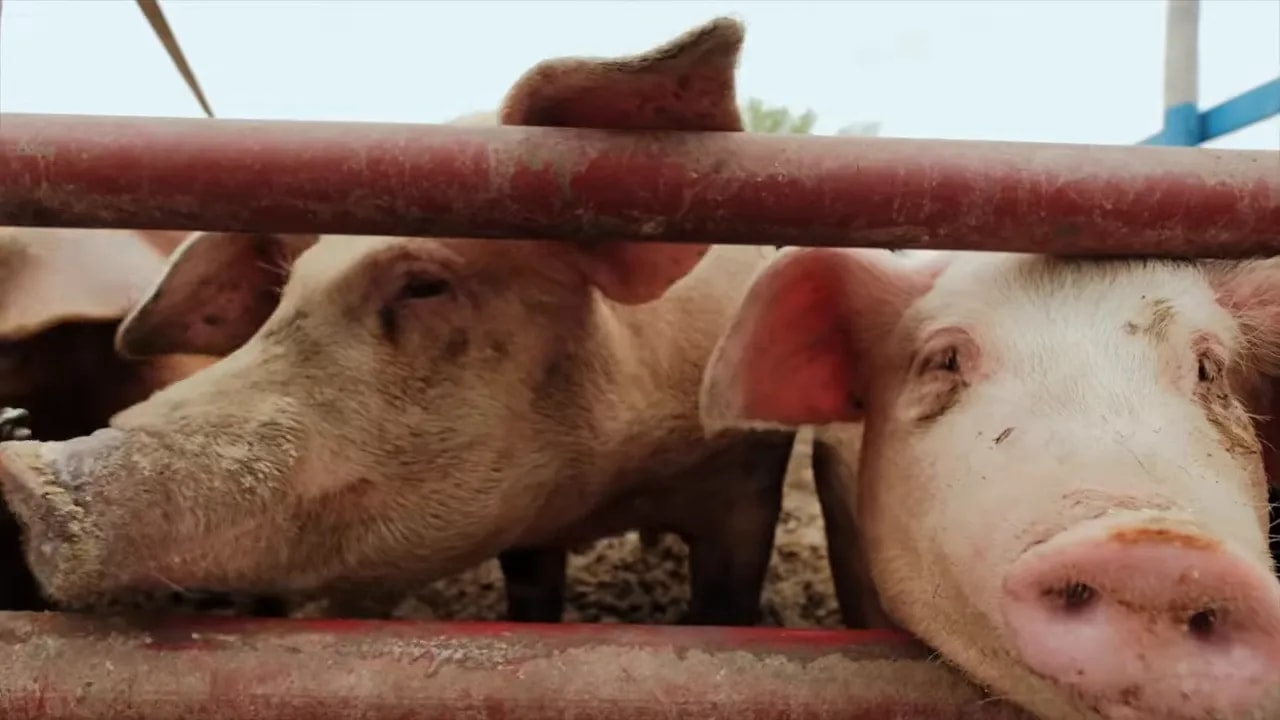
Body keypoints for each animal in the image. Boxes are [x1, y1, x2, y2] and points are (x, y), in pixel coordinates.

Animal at [0, 17, 796, 626]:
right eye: (282, 297)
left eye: (422, 286)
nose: (23, 472)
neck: (608, 490)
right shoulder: (530, 530)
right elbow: (533, 598)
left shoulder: (748, 467)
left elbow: (726, 602)